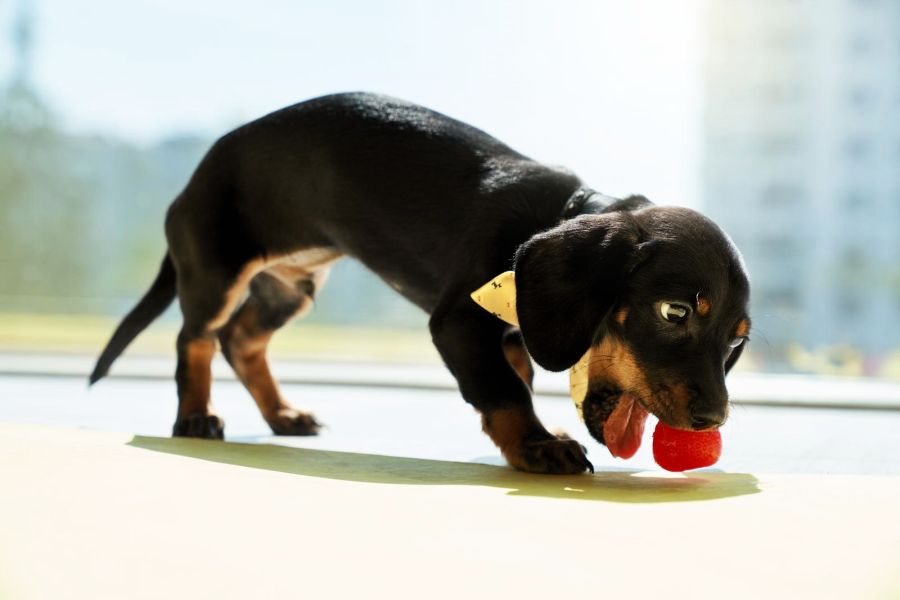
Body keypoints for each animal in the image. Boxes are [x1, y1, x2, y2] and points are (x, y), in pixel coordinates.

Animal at [93, 92, 752, 474]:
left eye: (737, 341)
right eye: (674, 312)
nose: (715, 420)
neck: (559, 213)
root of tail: (197, 174)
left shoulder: (511, 333)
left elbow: (513, 381)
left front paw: (538, 433)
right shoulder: (458, 322)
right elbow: (503, 390)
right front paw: (537, 446)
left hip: (291, 287)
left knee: (243, 341)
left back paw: (282, 414)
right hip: (218, 272)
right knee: (197, 338)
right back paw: (196, 417)